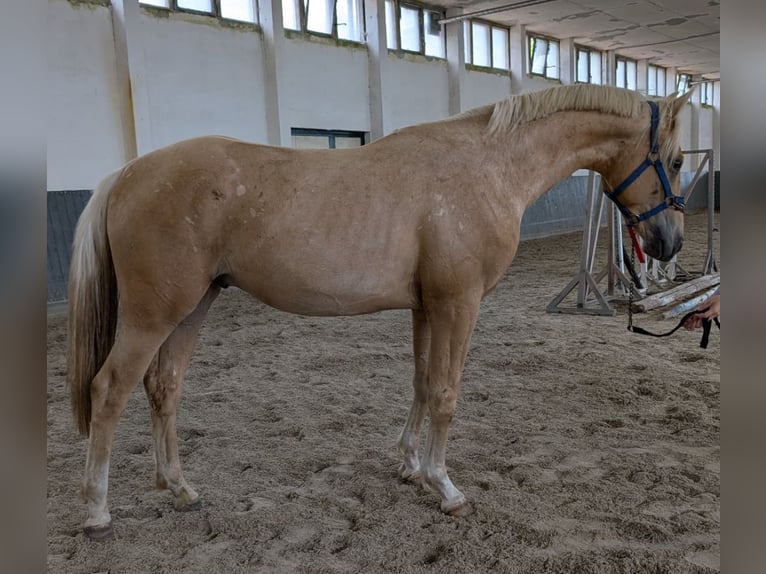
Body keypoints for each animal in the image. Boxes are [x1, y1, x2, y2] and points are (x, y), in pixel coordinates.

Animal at [67, 84, 692, 539]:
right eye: (679, 158)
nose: (669, 243)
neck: (488, 166)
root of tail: (125, 175)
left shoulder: (426, 306)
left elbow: (421, 382)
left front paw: (410, 465)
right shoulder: (457, 303)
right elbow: (445, 392)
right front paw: (445, 487)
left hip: (193, 306)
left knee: (163, 386)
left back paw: (179, 489)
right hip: (154, 314)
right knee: (110, 390)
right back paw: (97, 511)